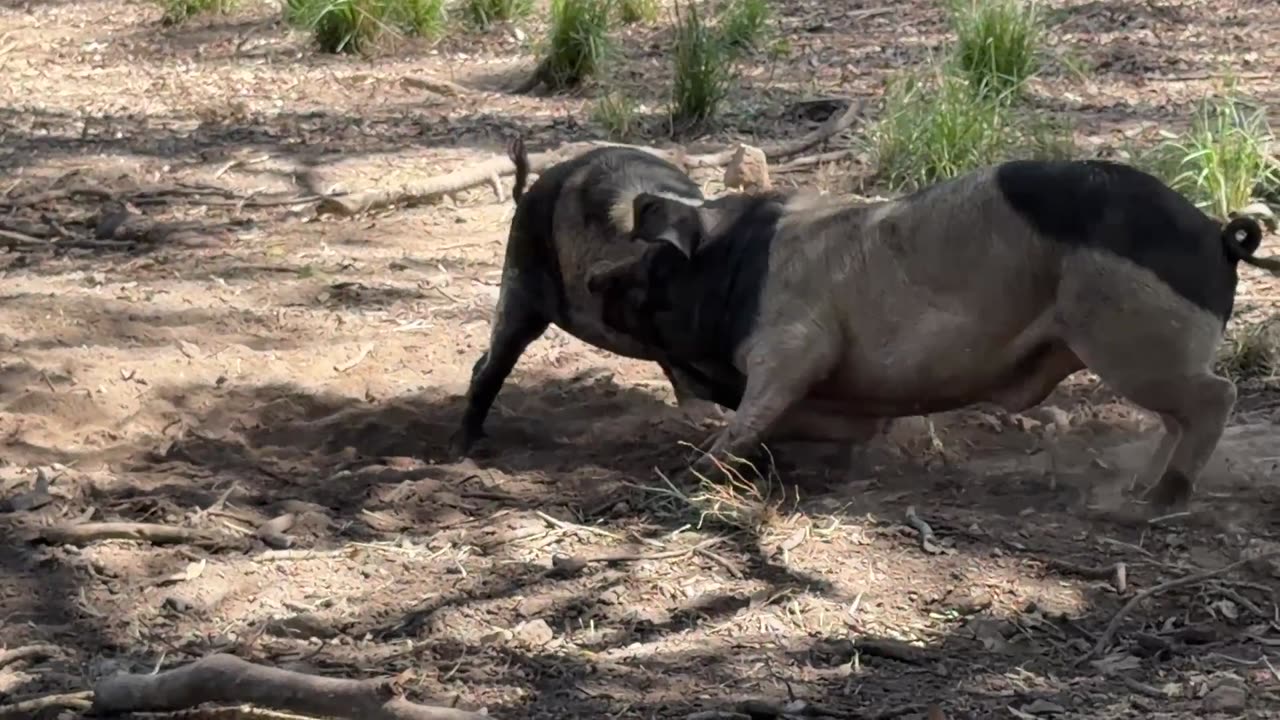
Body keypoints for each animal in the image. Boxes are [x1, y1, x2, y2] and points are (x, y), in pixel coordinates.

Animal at [585, 159, 1280, 511]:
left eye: (654, 264)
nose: (594, 277)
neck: (738, 270)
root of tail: (1219, 235)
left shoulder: (795, 340)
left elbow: (757, 406)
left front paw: (693, 467)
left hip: (1129, 337)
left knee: (1214, 398)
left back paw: (1161, 498)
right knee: (1175, 418)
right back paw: (1141, 488)